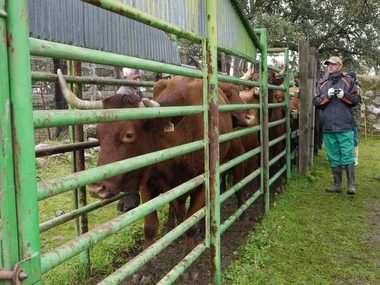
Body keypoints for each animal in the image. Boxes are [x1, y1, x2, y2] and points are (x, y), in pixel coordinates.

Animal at [56, 71, 246, 282]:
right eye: (98, 133)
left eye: (129, 135)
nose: (97, 188)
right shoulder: (147, 183)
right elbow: (150, 227)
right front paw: (143, 271)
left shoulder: (201, 184)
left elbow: (190, 224)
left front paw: (188, 266)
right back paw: (170, 227)